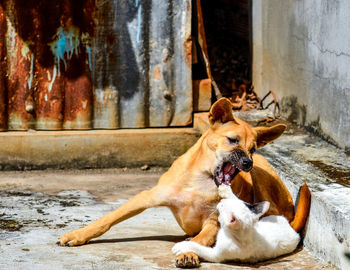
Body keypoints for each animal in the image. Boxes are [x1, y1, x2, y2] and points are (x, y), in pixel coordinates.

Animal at [171, 186, 300, 264]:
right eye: (225, 203)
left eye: (223, 207)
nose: (221, 201)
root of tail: (292, 229)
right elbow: (237, 198)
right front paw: (225, 190)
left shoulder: (217, 255)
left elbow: (199, 248)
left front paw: (181, 246)